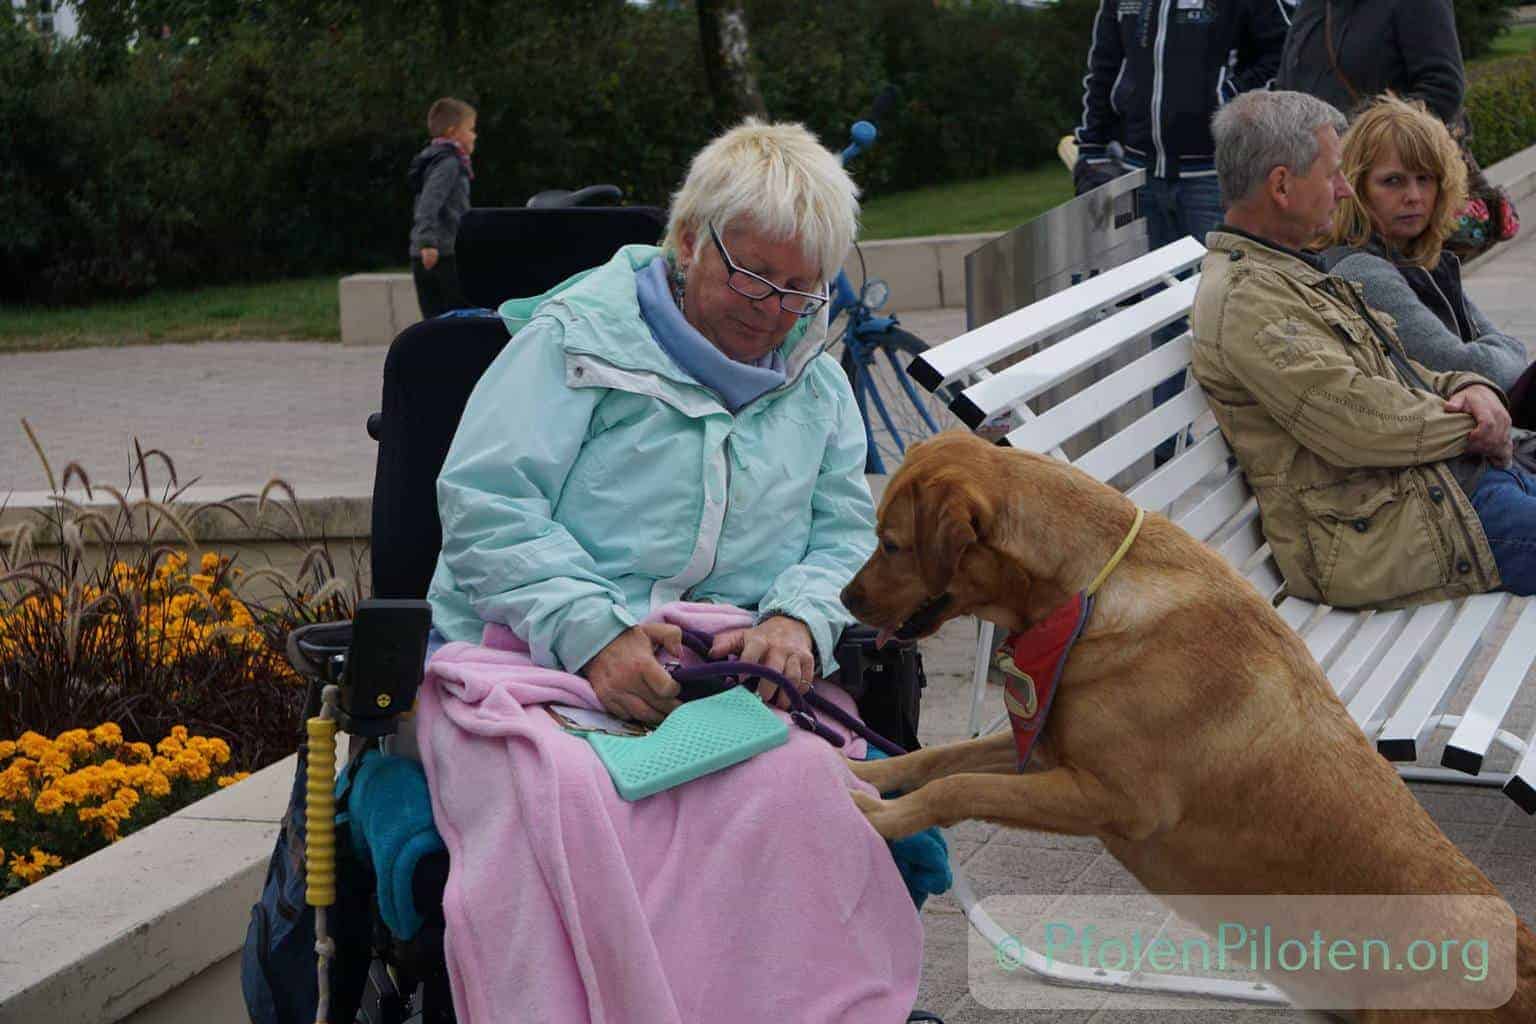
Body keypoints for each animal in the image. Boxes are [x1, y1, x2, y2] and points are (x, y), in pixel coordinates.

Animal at [841, 436, 1536, 1024]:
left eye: (891, 543)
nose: (846, 600)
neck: (1087, 590)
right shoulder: (1042, 754)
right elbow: (936, 759)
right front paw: (863, 768)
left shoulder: (1116, 800)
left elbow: (957, 787)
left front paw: (883, 818)